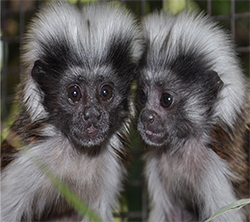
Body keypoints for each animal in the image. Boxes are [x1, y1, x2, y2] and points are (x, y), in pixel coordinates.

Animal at [0, 0, 144, 221]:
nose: (92, 115)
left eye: (106, 92)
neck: (76, 153)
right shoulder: (26, 160)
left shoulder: (111, 166)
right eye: (74, 93)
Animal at [137, 10, 250, 220]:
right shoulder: (155, 162)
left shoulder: (215, 167)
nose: (146, 117)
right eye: (142, 96)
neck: (182, 146)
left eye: (166, 99)